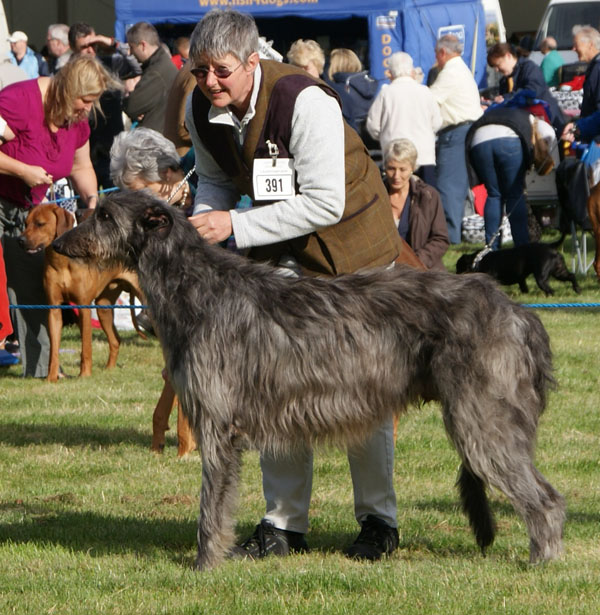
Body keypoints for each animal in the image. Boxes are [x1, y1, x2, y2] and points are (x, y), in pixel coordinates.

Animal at [19, 205, 142, 382]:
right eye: (26, 223)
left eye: (40, 224)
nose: (20, 240)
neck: (61, 262)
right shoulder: (54, 310)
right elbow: (53, 350)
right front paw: (51, 378)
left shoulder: (83, 308)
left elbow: (86, 347)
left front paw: (84, 375)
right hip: (103, 308)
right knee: (115, 341)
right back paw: (109, 369)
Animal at [54, 192, 564, 572]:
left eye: (104, 215)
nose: (58, 244)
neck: (195, 287)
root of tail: (518, 313)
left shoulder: (216, 424)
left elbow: (210, 506)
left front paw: (205, 564)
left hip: (482, 421)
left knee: (547, 498)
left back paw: (542, 561)